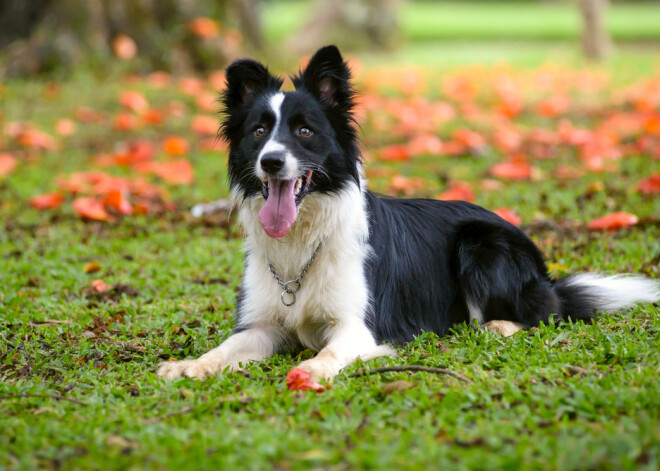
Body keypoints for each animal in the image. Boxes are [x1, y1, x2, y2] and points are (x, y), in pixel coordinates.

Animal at [157, 45, 656, 384]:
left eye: (304, 131)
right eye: (259, 131)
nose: (272, 162)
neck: (304, 239)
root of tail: (542, 270)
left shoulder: (359, 327)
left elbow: (328, 354)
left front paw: (311, 371)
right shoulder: (262, 324)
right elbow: (226, 347)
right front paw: (189, 365)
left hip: (481, 244)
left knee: (543, 312)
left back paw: (496, 325)